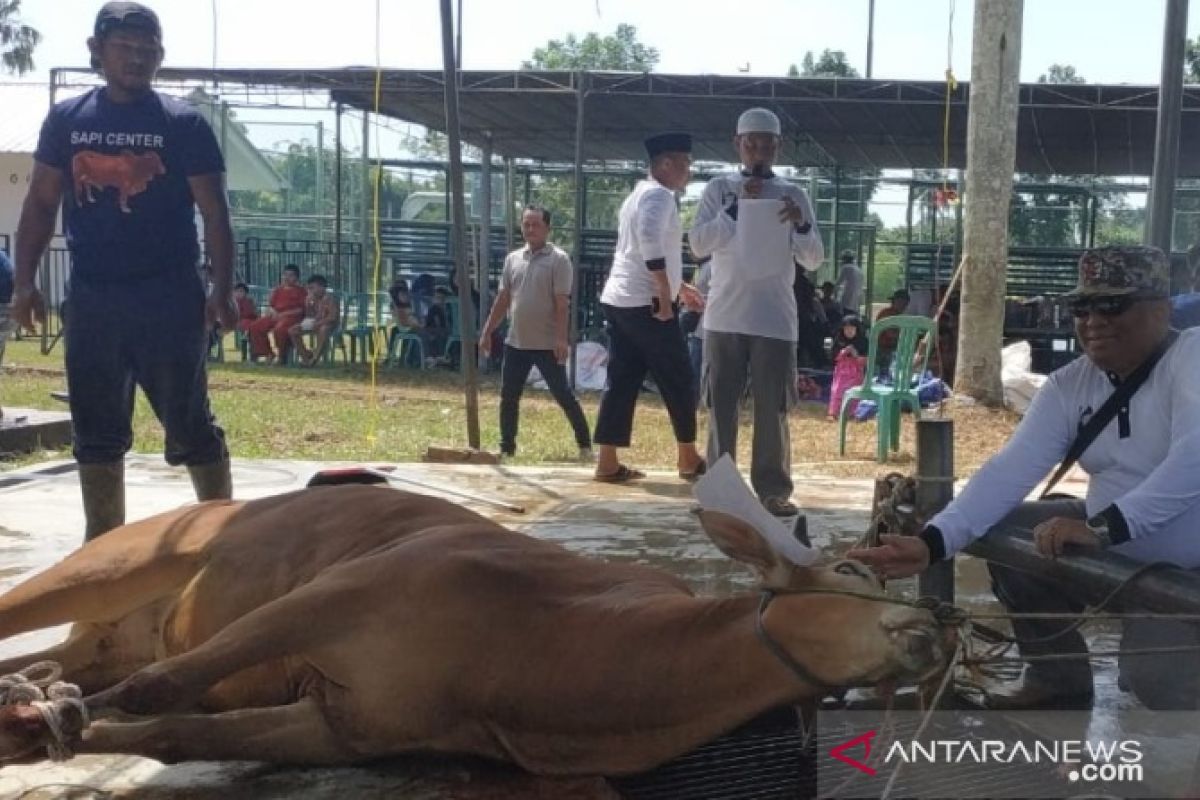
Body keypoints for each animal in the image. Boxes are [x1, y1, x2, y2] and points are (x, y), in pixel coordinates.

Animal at [0, 484, 955, 777]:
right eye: (854, 573)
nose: (938, 623)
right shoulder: (343, 592)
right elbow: (163, 688)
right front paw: (43, 721)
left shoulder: (347, 726)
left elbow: (171, 729)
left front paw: (62, 723)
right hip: (129, 557)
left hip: (110, 627)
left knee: (85, 656)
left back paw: (38, 684)